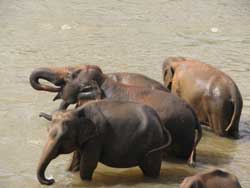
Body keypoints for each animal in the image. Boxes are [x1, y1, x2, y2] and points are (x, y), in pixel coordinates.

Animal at [36, 100, 172, 185]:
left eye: (64, 138)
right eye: (47, 131)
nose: (51, 179)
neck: (77, 112)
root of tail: (160, 122)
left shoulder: (97, 138)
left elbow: (88, 165)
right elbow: (75, 164)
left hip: (154, 143)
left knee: (151, 170)